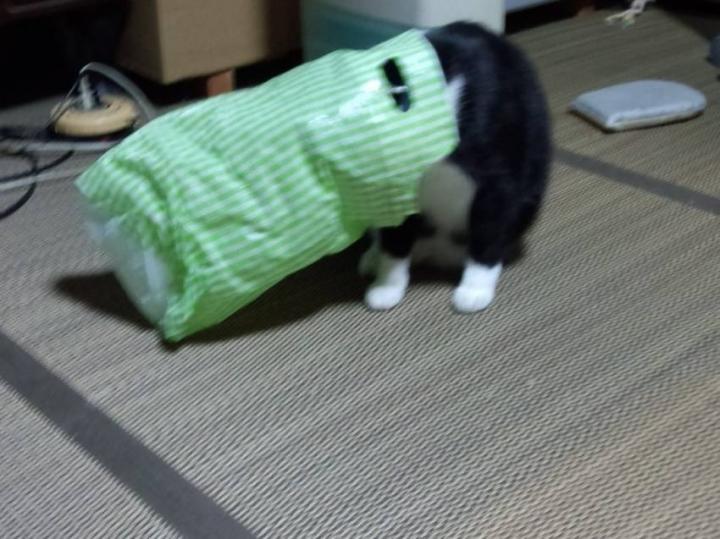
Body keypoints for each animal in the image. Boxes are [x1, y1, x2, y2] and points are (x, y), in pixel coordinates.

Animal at [361, 21, 551, 312]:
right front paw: (387, 286)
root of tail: (437, 249)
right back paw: (374, 256)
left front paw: (475, 289)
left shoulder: (498, 179)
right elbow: (395, 240)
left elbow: (488, 232)